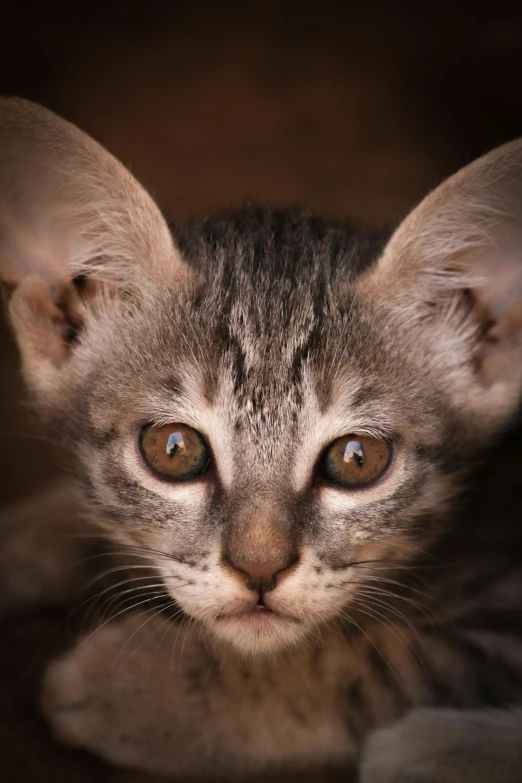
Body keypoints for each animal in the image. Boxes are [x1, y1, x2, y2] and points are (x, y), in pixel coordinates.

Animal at [1, 99, 520, 783]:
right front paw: (29, 535)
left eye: (358, 459)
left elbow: (359, 661)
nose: (259, 571)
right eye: (173, 449)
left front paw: (143, 689)